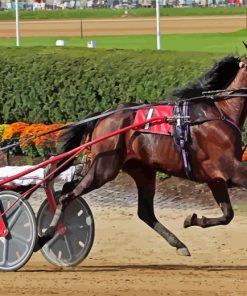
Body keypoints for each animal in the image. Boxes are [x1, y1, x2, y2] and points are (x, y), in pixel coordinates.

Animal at [37, 55, 247, 256]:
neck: (221, 112)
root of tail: (105, 115)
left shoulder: (216, 177)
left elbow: (228, 215)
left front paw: (193, 219)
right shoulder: (230, 169)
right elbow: (229, 211)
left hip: (141, 170)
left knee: (143, 211)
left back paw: (178, 244)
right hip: (105, 168)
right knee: (67, 195)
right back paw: (45, 236)